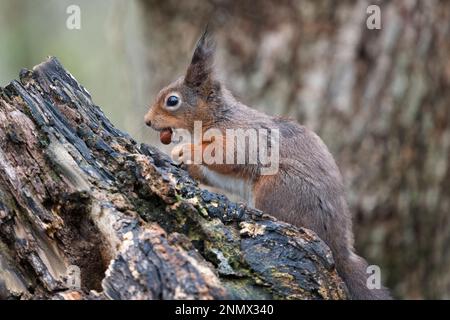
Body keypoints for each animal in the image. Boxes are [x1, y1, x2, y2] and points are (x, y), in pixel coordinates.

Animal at [145, 30, 390, 300]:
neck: (218, 116)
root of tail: (338, 248)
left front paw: (184, 150)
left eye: (172, 101)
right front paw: (185, 163)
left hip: (277, 188)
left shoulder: (242, 137)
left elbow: (226, 155)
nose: (147, 121)